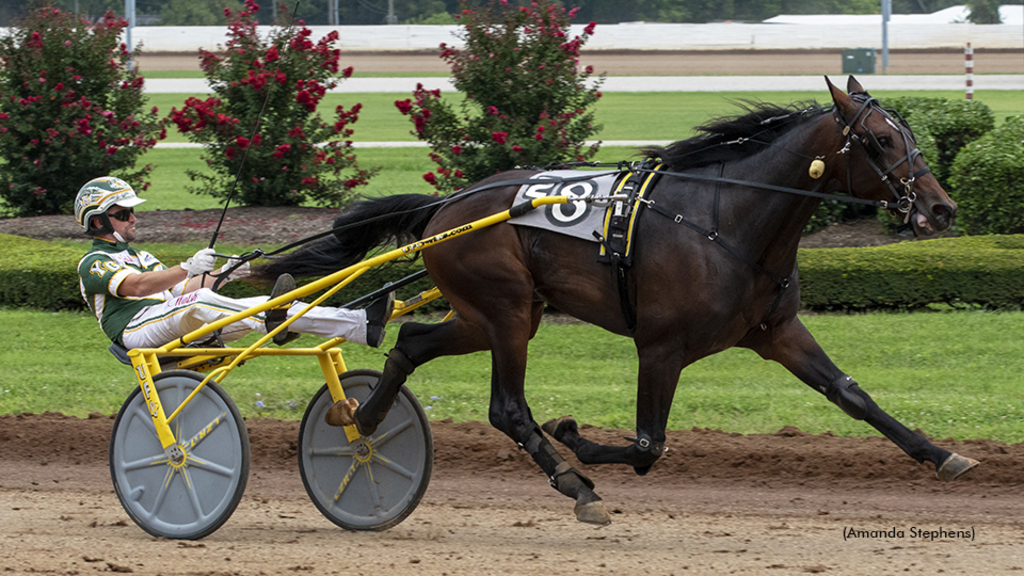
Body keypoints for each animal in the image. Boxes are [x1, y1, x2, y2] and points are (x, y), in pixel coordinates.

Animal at [260, 77, 978, 524]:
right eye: (881, 141)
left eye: (910, 134)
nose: (941, 208)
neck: (726, 220)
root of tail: (448, 205)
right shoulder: (661, 345)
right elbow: (647, 445)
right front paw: (576, 438)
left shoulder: (776, 330)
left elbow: (852, 395)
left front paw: (944, 455)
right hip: (505, 309)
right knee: (507, 408)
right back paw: (573, 484)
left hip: (492, 313)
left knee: (411, 343)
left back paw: (361, 420)